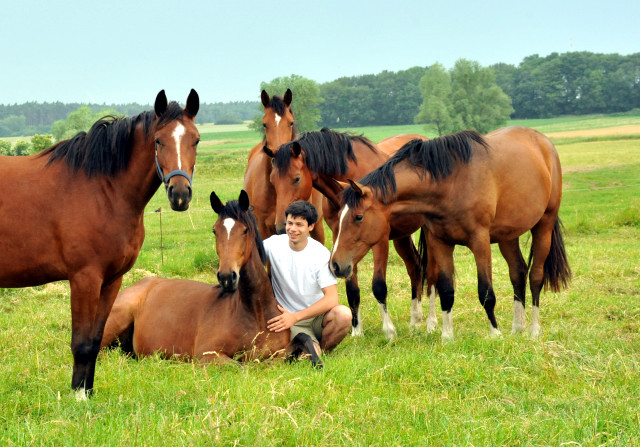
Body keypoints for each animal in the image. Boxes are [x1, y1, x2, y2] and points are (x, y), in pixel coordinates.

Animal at [0, 89, 200, 398]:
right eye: (158, 141)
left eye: (196, 140)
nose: (180, 194)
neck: (103, 190)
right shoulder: (85, 279)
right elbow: (81, 342)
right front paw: (78, 398)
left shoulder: (111, 281)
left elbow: (94, 340)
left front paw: (88, 393)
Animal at [100, 191, 290, 362]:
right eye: (215, 231)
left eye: (245, 230)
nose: (227, 277)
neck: (256, 312)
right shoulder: (207, 354)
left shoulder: (280, 355)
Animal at [264, 129, 436, 340]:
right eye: (272, 181)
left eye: (296, 178)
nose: (281, 227)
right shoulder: (342, 241)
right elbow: (351, 288)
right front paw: (356, 330)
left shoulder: (379, 240)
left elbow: (379, 286)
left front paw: (389, 332)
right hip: (401, 237)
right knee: (415, 267)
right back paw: (415, 321)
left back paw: (429, 323)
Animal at [332, 126, 572, 340]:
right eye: (339, 216)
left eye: (358, 217)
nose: (335, 265)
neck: (450, 184)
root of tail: (543, 142)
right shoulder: (440, 241)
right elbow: (446, 291)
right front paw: (447, 337)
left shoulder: (480, 241)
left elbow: (486, 292)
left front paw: (495, 334)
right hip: (508, 235)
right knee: (518, 273)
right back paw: (517, 328)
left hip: (544, 225)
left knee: (535, 276)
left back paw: (533, 331)